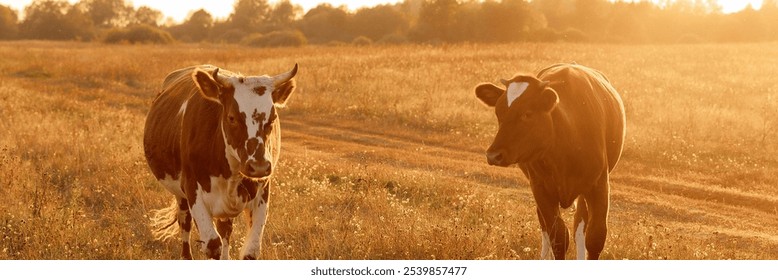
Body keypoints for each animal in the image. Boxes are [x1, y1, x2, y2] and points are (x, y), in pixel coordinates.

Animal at [142, 64, 298, 260]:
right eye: (232, 117)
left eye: (272, 119)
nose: (259, 167)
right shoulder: (192, 190)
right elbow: (212, 244)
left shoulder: (262, 190)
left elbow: (250, 252)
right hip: (180, 195)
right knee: (185, 223)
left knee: (225, 230)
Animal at [472, 63, 624, 260]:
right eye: (499, 113)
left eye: (527, 113)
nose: (493, 155)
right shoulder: (541, 188)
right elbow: (558, 236)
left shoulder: (599, 185)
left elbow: (595, 237)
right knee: (545, 226)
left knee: (579, 226)